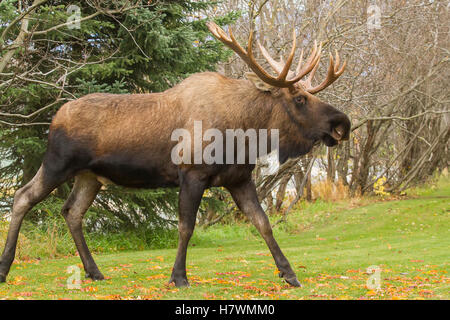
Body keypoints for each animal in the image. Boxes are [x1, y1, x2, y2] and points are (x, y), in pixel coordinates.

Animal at [0, 22, 350, 288]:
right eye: (299, 99)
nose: (342, 123)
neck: (245, 131)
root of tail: (55, 118)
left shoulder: (239, 178)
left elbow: (263, 223)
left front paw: (288, 273)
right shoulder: (192, 173)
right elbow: (186, 227)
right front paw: (178, 276)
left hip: (90, 176)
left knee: (71, 211)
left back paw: (94, 271)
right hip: (57, 163)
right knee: (22, 196)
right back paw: (5, 269)